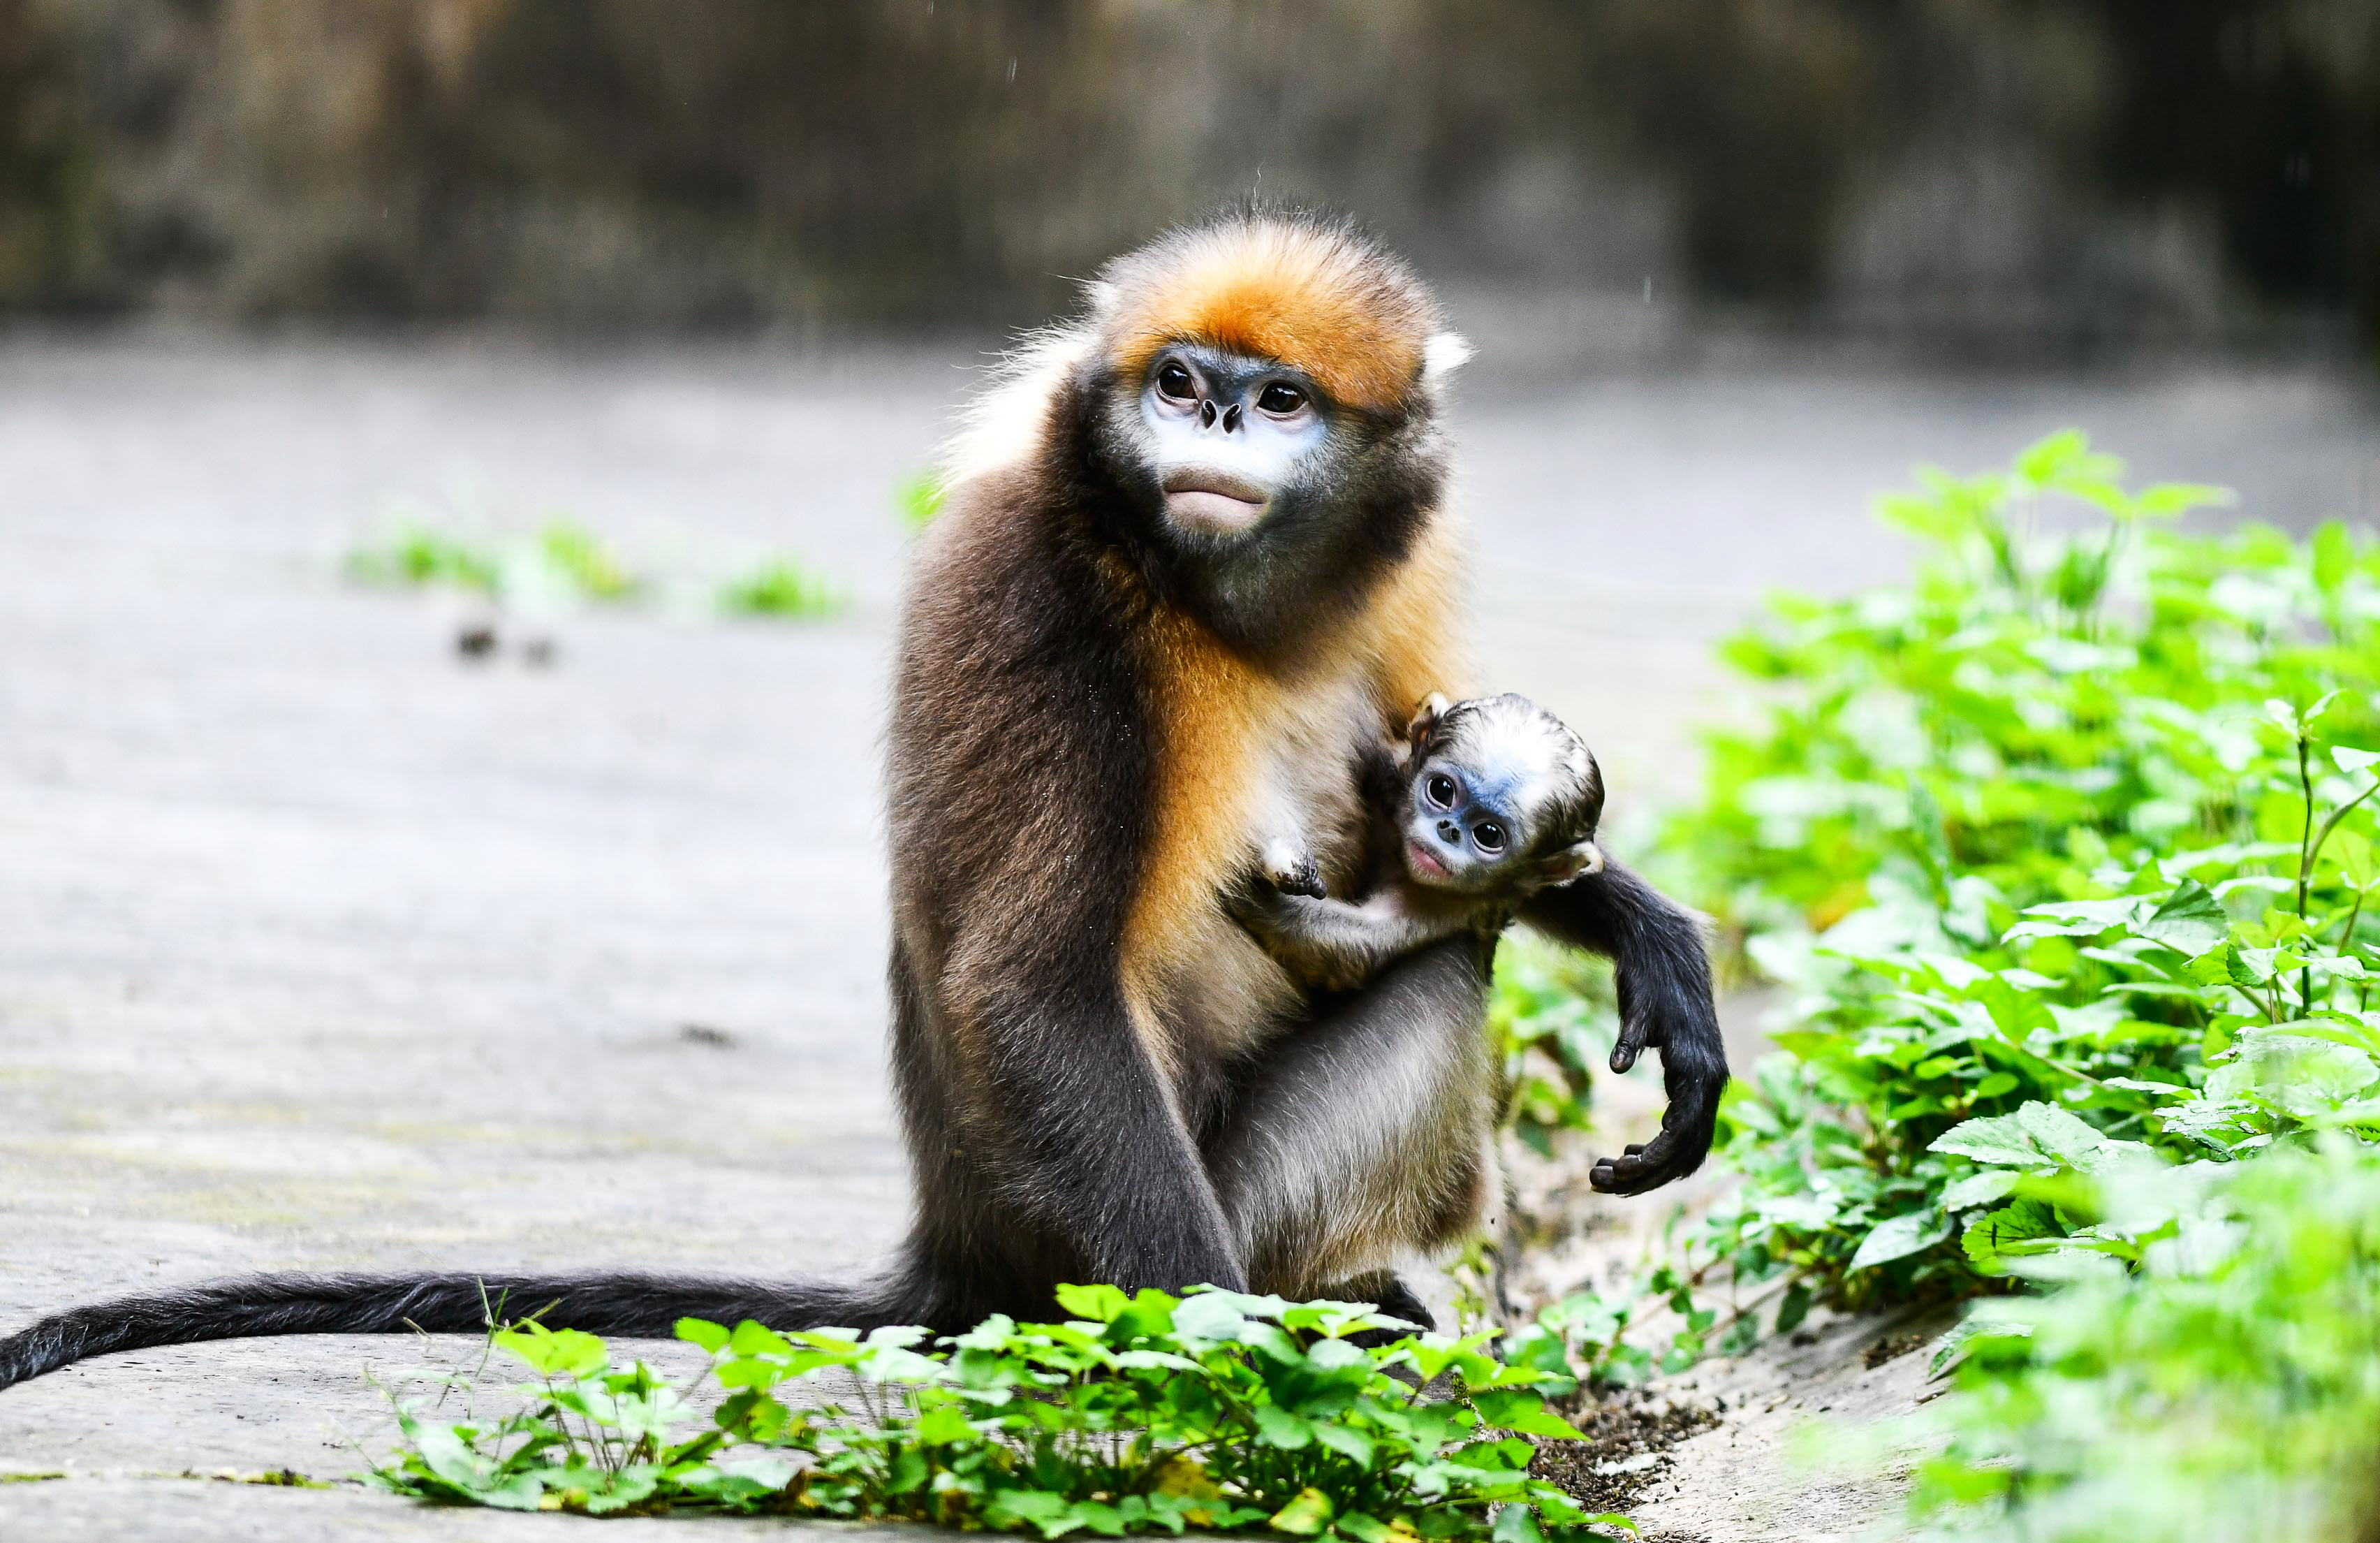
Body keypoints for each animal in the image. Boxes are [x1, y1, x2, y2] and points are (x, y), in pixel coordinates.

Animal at [1237, 685, 1608, 990]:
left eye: (1489, 835)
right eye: (1442, 790)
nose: (1449, 829)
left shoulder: (1450, 902)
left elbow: (1352, 944)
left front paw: (1251, 892)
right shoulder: (1392, 773)